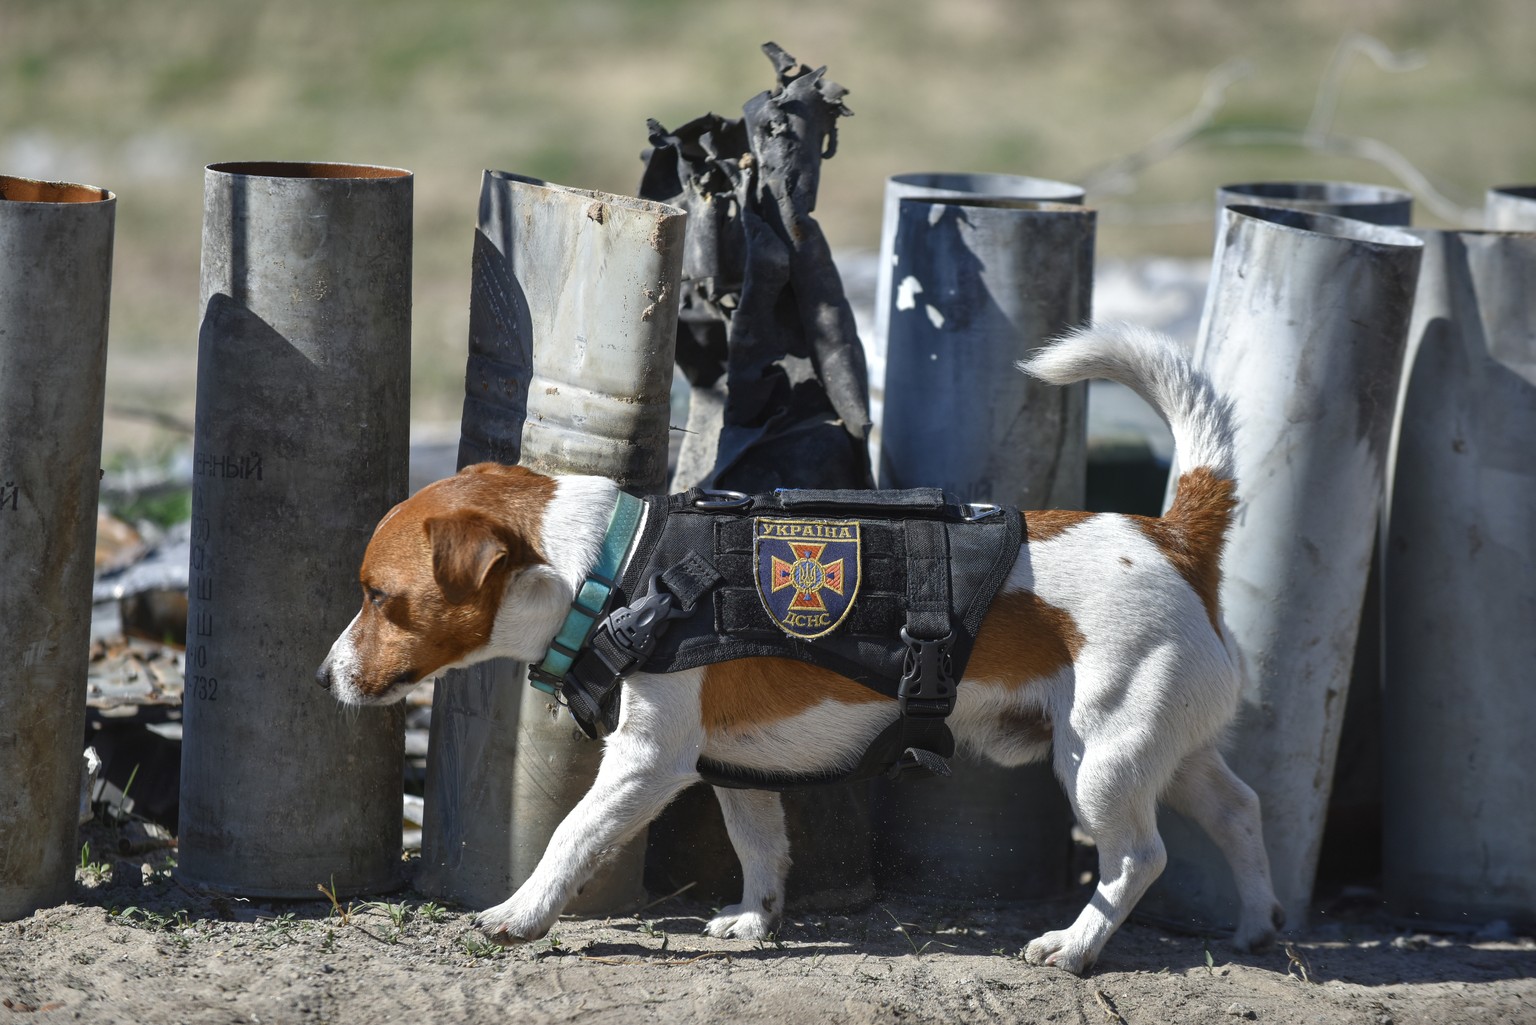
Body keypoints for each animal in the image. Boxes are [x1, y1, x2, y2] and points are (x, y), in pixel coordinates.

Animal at [314, 324, 1284, 977]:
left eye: (378, 597)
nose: (322, 676)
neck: (614, 567)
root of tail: (1174, 534)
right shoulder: (736, 765)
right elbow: (760, 846)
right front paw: (756, 918)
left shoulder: (646, 761)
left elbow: (569, 837)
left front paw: (518, 914)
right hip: (1167, 750)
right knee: (1239, 809)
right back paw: (1258, 924)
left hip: (1101, 762)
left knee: (1138, 858)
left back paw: (1076, 944)